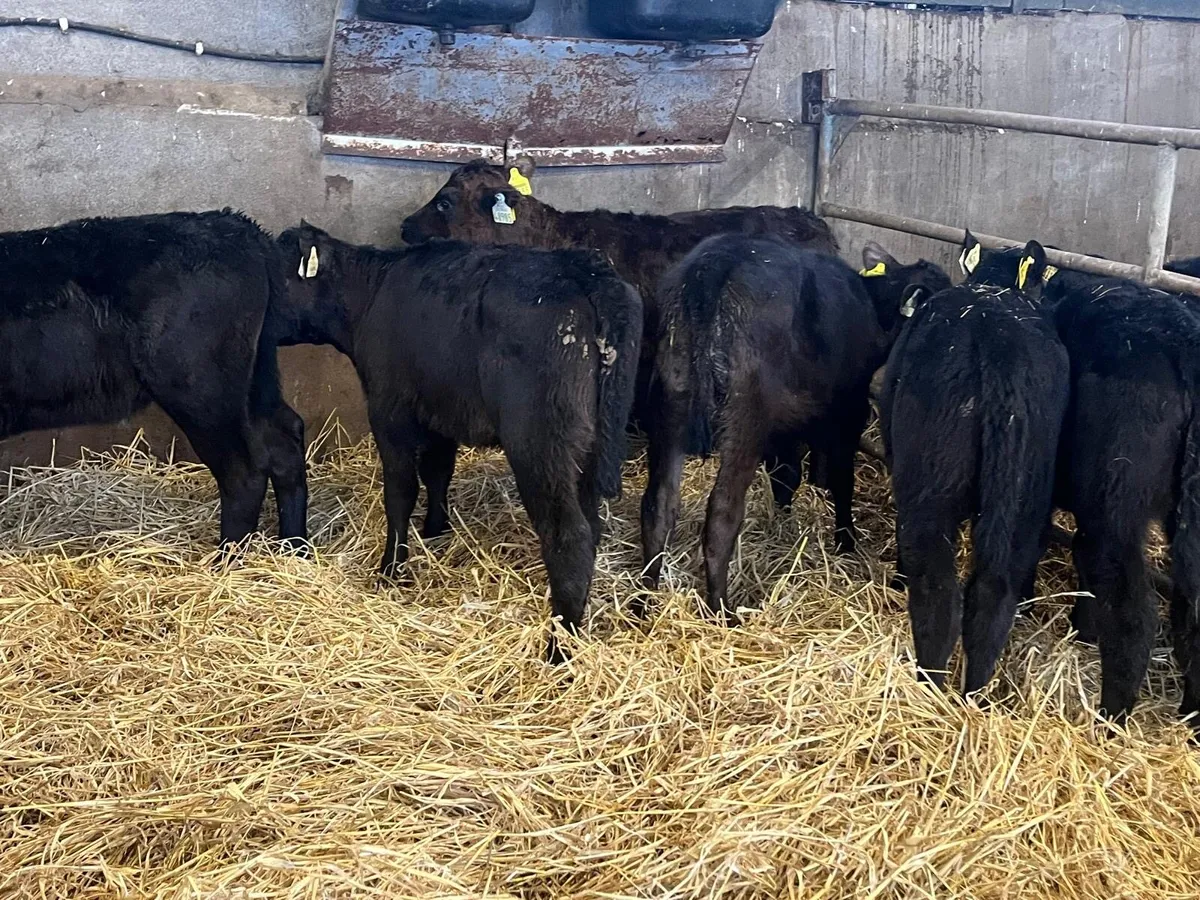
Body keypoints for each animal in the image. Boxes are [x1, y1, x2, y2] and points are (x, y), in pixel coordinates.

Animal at [0, 210, 308, 547]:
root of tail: (236, 225)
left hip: (200, 390)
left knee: (243, 471)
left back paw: (227, 556)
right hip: (253, 382)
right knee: (284, 439)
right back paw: (295, 547)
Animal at [275, 222, 641, 663]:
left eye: (271, 269)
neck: (372, 292)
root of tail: (584, 269)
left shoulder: (389, 412)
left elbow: (400, 492)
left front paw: (390, 569)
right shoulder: (440, 414)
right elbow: (438, 473)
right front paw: (436, 529)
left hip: (541, 445)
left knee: (570, 536)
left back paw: (558, 647)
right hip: (587, 448)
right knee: (591, 525)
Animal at [638, 234, 950, 618]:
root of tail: (717, 262)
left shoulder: (785, 430)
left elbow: (786, 475)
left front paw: (783, 521)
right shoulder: (848, 411)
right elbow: (842, 480)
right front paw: (846, 540)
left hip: (671, 405)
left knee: (658, 505)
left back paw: (643, 602)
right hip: (745, 420)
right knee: (722, 514)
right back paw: (722, 610)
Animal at [880, 247, 1069, 694]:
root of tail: (999, 341)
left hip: (930, 491)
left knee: (937, 590)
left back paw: (931, 683)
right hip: (1025, 500)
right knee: (994, 594)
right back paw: (974, 694)